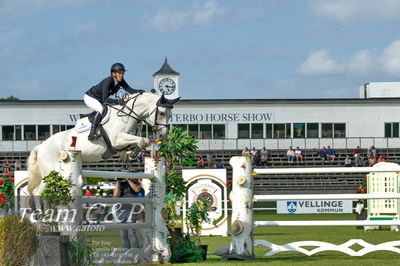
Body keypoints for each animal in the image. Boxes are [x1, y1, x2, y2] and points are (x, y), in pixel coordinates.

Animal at [27, 92, 179, 196]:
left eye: (170, 114)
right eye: (161, 112)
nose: (162, 136)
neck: (127, 116)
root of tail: (41, 146)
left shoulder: (125, 141)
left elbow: (140, 142)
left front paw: (132, 154)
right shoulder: (118, 139)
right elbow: (144, 140)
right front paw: (134, 153)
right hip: (50, 172)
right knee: (38, 193)